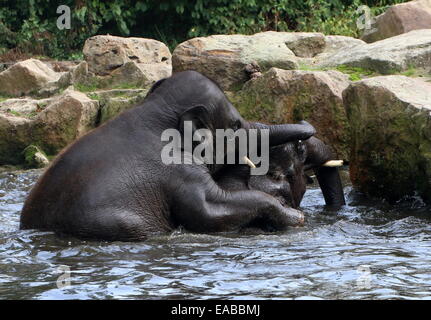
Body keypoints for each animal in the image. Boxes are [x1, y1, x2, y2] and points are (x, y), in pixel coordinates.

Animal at [20, 70, 318, 240]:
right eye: (235, 126)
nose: (303, 138)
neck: (155, 111)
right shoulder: (179, 170)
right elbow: (208, 211)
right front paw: (295, 217)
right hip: (120, 224)